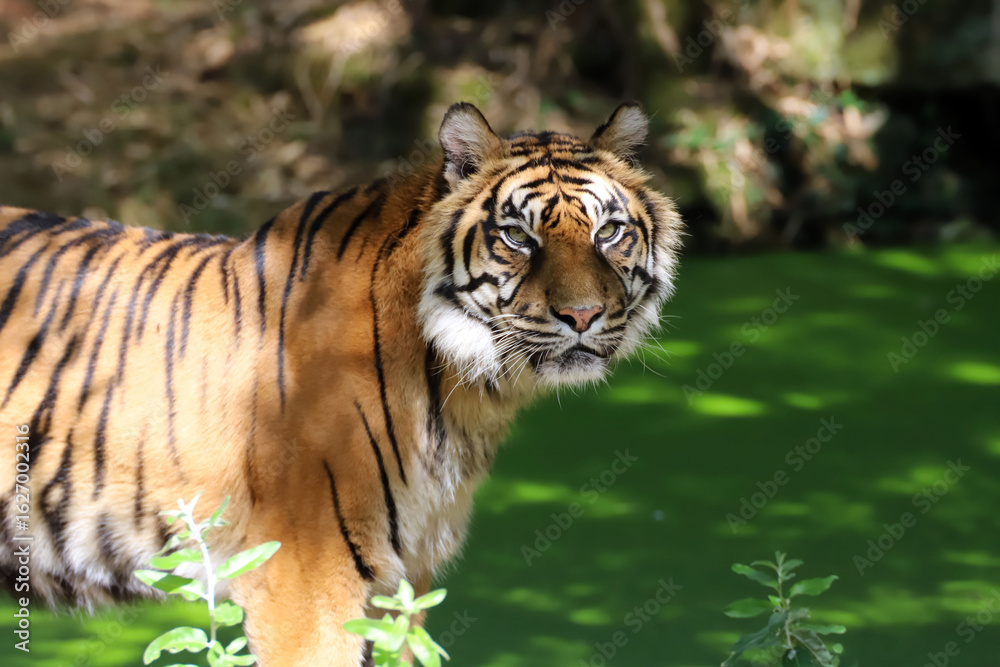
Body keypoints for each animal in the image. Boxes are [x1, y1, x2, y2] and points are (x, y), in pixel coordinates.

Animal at [0, 101, 682, 665]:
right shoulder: (303, 583)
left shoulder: (404, 583)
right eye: (518, 236)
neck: (461, 387)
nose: (583, 315)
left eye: (608, 232)